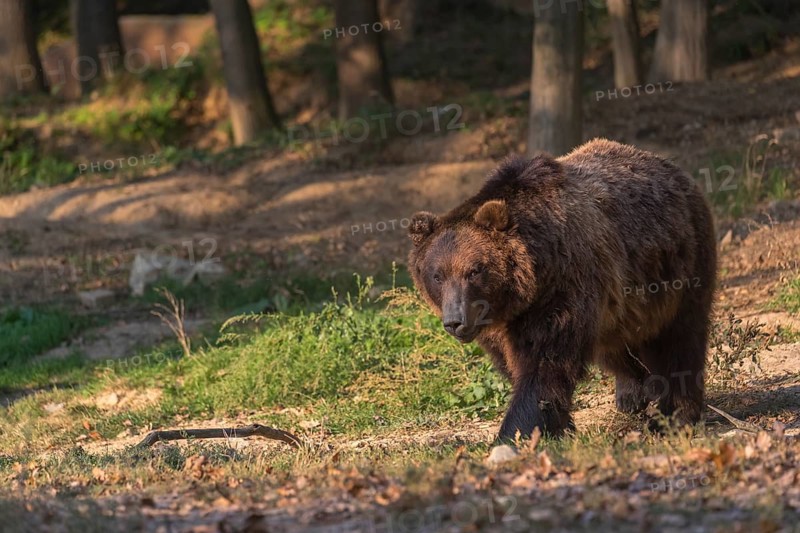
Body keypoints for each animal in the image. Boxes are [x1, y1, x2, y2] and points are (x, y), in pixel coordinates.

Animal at [407, 138, 716, 442]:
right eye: (437, 275)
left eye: (474, 270)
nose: (454, 322)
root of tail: (668, 165)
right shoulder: (500, 325)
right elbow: (513, 364)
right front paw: (560, 426)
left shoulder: (562, 290)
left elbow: (544, 366)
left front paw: (515, 433)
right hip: (623, 304)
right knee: (617, 346)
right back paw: (632, 394)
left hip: (681, 263)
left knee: (681, 338)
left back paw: (674, 414)